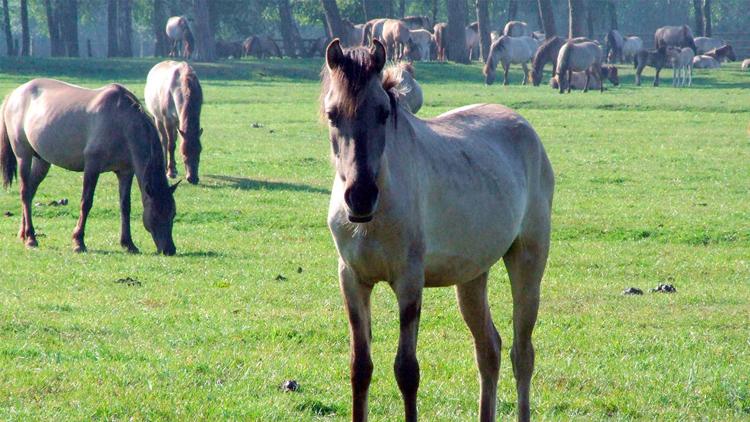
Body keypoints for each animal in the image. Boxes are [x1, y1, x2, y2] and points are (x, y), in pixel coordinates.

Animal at [0, 81, 178, 256]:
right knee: (24, 193)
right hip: (23, 155)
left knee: (30, 193)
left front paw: (128, 244)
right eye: (156, 214)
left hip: (42, 161)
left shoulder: (125, 172)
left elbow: (125, 206)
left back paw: (23, 234)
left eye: (173, 213)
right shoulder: (92, 166)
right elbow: (86, 202)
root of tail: (13, 95)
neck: (122, 122)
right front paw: (78, 242)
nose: (170, 249)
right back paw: (31, 238)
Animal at [320, 38, 556, 420]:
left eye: (382, 112)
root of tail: (525, 127)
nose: (361, 196)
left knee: (522, 354)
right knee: (489, 349)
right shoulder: (353, 279)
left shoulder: (409, 281)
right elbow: (360, 367)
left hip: (527, 263)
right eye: (332, 114)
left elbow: (406, 370)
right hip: (472, 277)